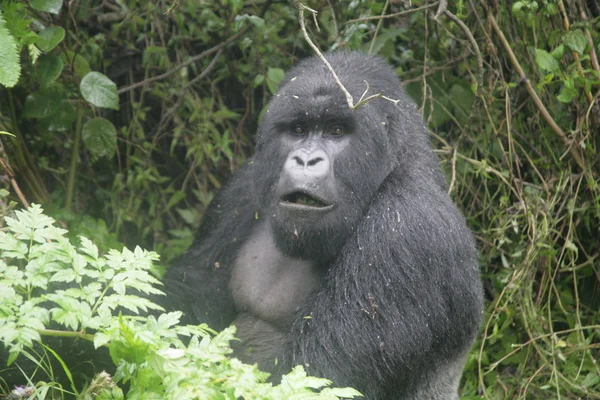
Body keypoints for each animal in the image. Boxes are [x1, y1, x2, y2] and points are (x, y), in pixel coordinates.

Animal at [163, 50, 482, 400]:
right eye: (298, 129)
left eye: (337, 131)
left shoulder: (406, 227)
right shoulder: (241, 188)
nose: (305, 160)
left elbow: (317, 375)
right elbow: (186, 300)